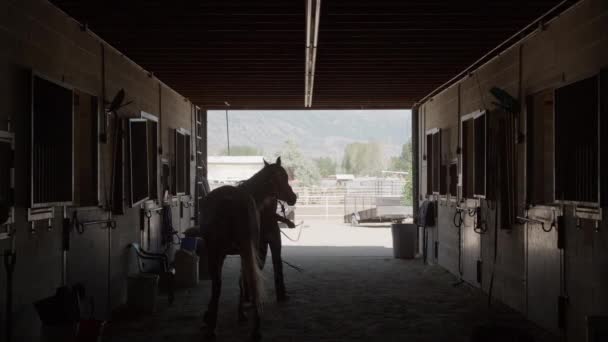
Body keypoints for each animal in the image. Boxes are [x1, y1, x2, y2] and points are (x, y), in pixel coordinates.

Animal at [198, 156, 296, 340]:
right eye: (281, 178)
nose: (293, 197)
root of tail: (231, 201)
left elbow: (237, 281)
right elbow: (242, 280)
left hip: (223, 252)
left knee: (220, 284)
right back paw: (253, 329)